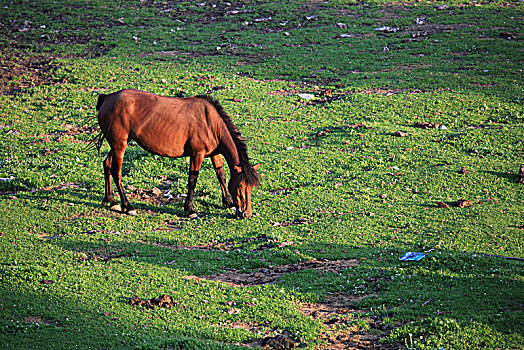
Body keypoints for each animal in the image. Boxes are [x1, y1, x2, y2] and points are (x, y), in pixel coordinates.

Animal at [94, 89, 260, 217]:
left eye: (251, 187)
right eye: (240, 187)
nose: (246, 214)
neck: (211, 123)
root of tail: (107, 97)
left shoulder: (215, 154)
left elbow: (221, 176)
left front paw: (227, 202)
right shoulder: (197, 154)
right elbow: (192, 180)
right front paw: (190, 209)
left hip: (116, 145)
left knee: (106, 164)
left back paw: (111, 201)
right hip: (119, 146)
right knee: (116, 172)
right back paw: (128, 207)